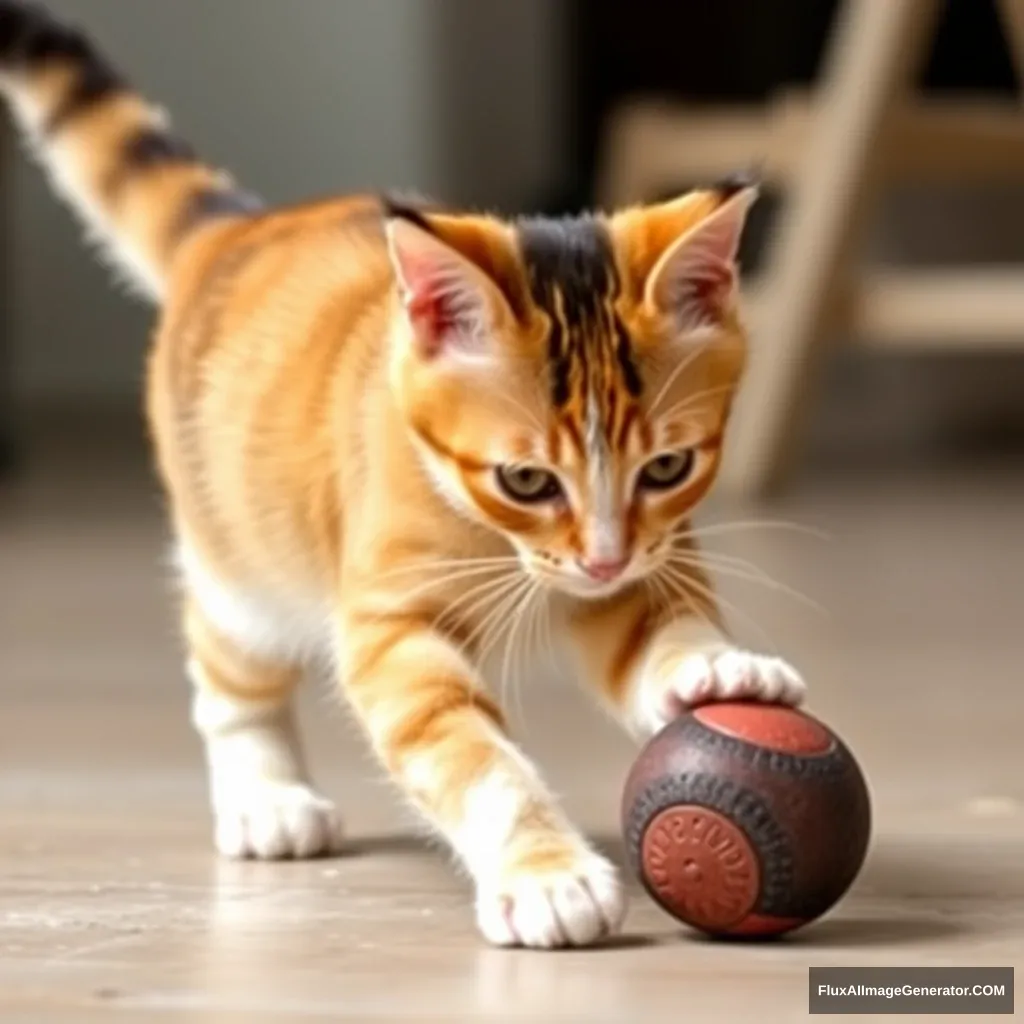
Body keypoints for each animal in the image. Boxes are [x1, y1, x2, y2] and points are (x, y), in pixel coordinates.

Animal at [0, 0, 802, 946]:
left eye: (668, 467)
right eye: (525, 481)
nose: (602, 559)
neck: (490, 533)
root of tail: (236, 230)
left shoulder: (643, 561)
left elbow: (652, 625)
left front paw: (713, 667)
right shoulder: (391, 625)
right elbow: (470, 754)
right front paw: (548, 875)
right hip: (241, 558)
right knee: (225, 668)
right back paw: (268, 798)